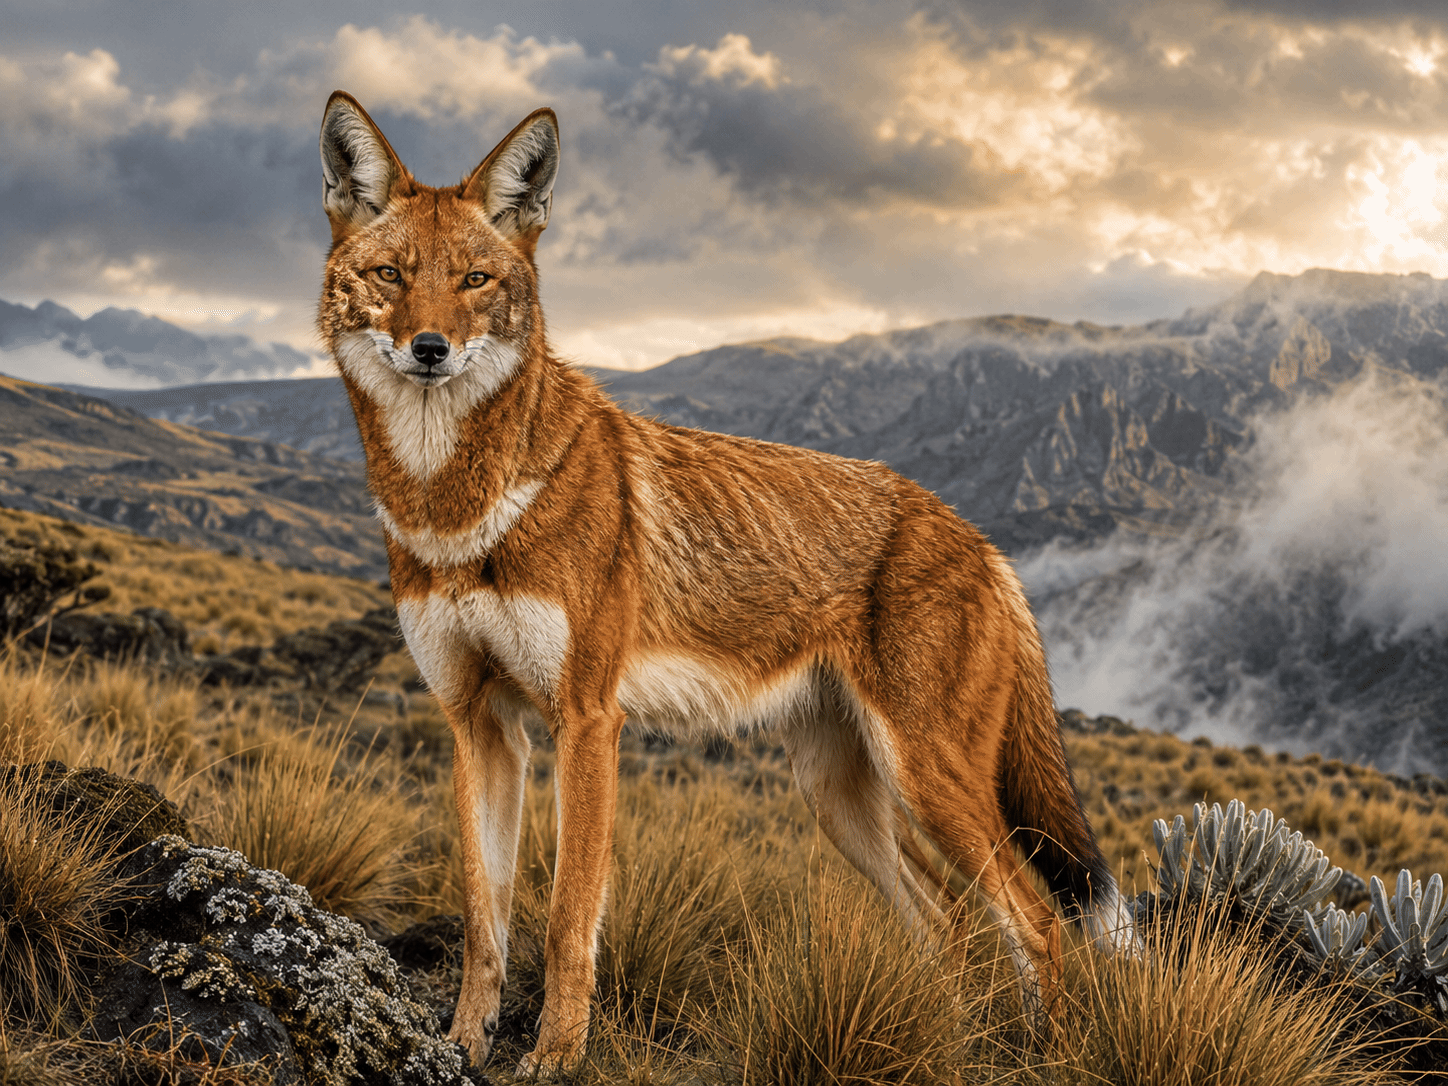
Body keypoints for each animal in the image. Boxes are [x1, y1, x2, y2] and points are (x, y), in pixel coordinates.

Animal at [317, 91, 1134, 1075]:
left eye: (475, 280)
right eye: (391, 275)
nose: (431, 349)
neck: (457, 512)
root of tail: (982, 541)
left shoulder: (587, 721)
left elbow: (566, 921)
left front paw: (555, 1057)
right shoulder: (479, 723)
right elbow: (486, 917)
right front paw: (462, 1044)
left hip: (929, 783)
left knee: (1038, 926)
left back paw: (1041, 1055)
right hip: (841, 801)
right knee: (947, 928)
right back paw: (957, 1045)